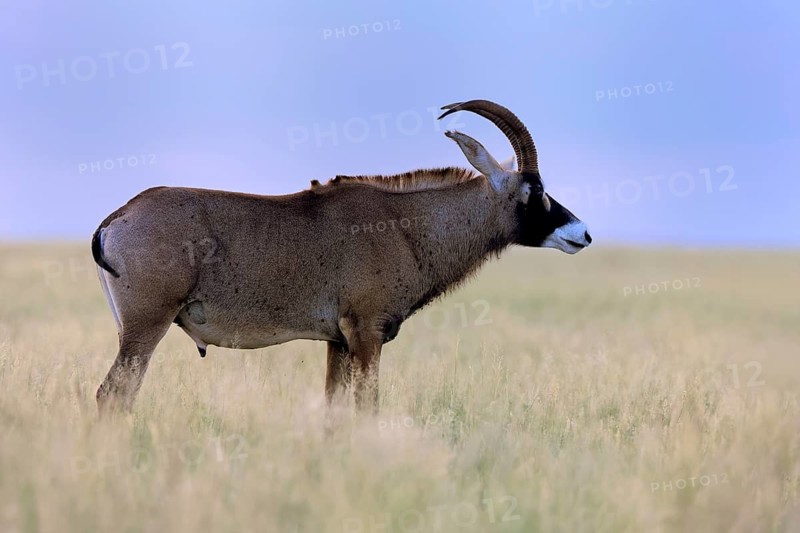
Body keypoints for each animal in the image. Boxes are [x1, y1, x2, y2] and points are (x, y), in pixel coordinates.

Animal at [91, 100, 591, 416]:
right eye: (535, 190)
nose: (582, 233)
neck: (404, 224)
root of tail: (118, 216)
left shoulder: (338, 341)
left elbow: (334, 411)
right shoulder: (366, 332)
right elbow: (367, 408)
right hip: (146, 325)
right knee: (112, 394)